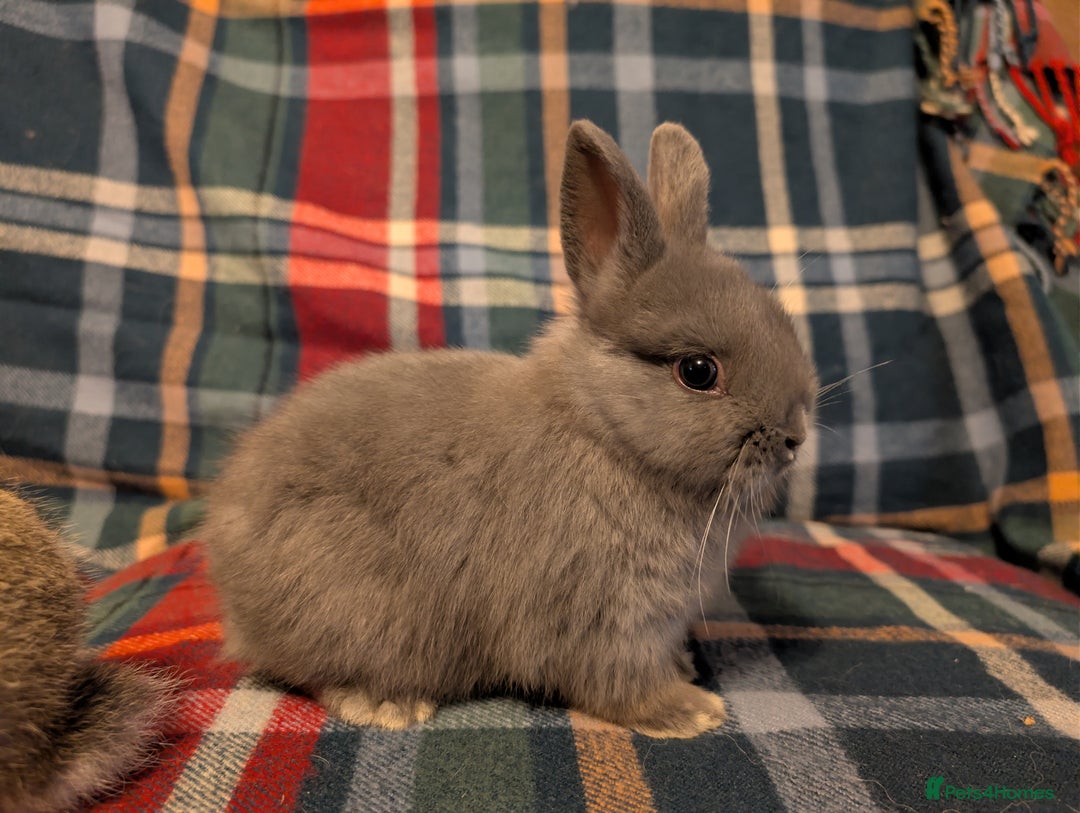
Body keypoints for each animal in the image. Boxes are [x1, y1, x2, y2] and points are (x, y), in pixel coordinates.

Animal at [202, 120, 816, 739]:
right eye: (698, 371)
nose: (795, 436)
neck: (607, 433)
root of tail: (233, 594)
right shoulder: (605, 616)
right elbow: (621, 684)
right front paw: (692, 712)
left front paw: (686, 671)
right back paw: (387, 705)